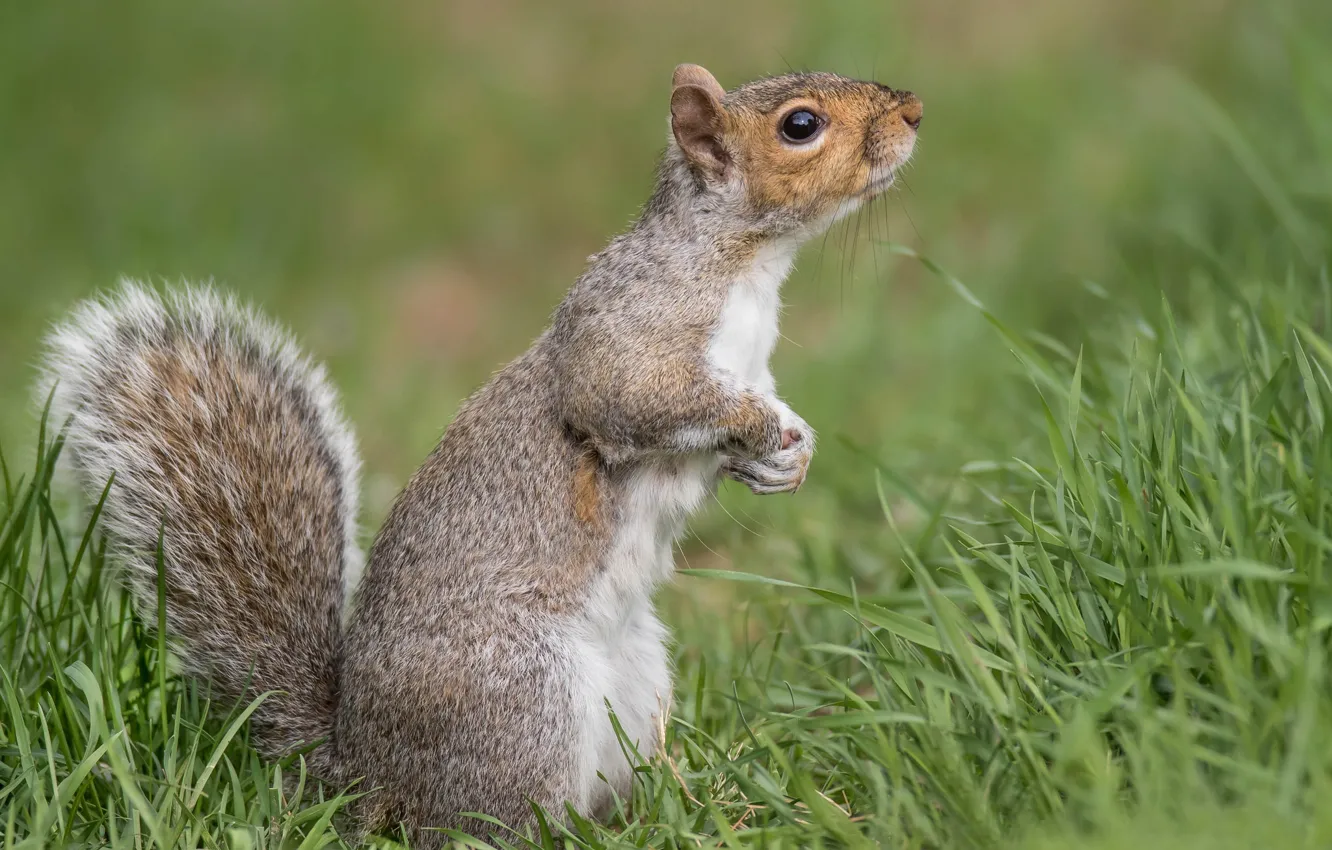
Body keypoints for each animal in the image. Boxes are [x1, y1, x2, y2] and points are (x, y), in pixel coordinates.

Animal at [36, 64, 921, 847]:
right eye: (800, 125)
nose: (913, 111)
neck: (747, 263)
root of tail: (360, 771)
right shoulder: (628, 338)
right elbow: (633, 399)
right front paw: (757, 426)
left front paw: (787, 457)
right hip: (524, 700)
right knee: (483, 825)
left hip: (634, 683)